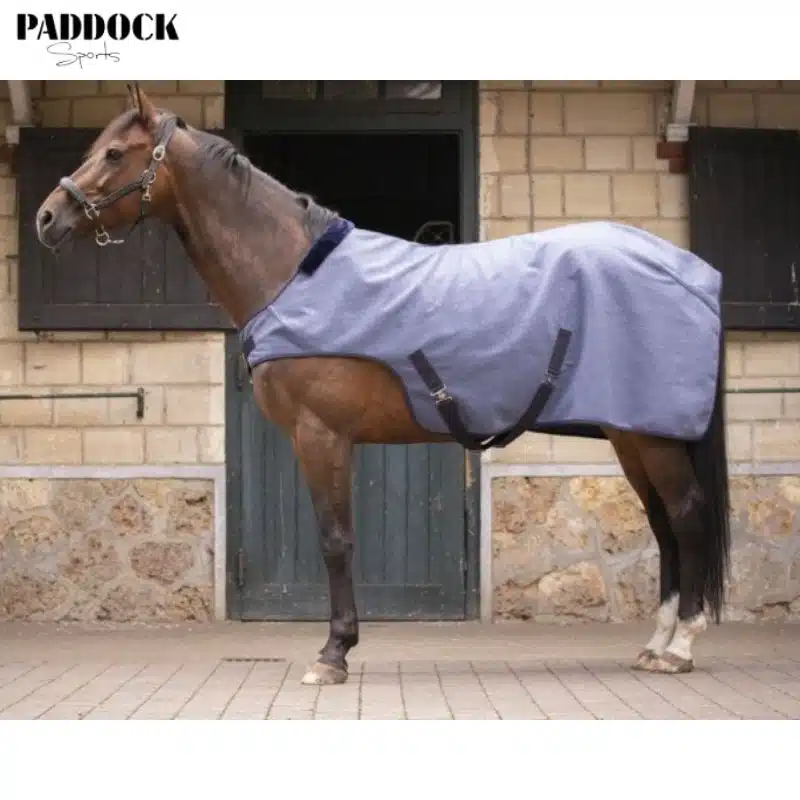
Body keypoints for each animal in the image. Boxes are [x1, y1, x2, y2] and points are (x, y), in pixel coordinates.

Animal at [34, 84, 730, 685]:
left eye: (114, 154)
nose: (47, 217)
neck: (293, 273)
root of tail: (691, 270)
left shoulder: (321, 436)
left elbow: (336, 541)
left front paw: (334, 653)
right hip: (632, 435)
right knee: (663, 522)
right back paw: (656, 643)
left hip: (652, 437)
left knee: (687, 514)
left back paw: (682, 645)